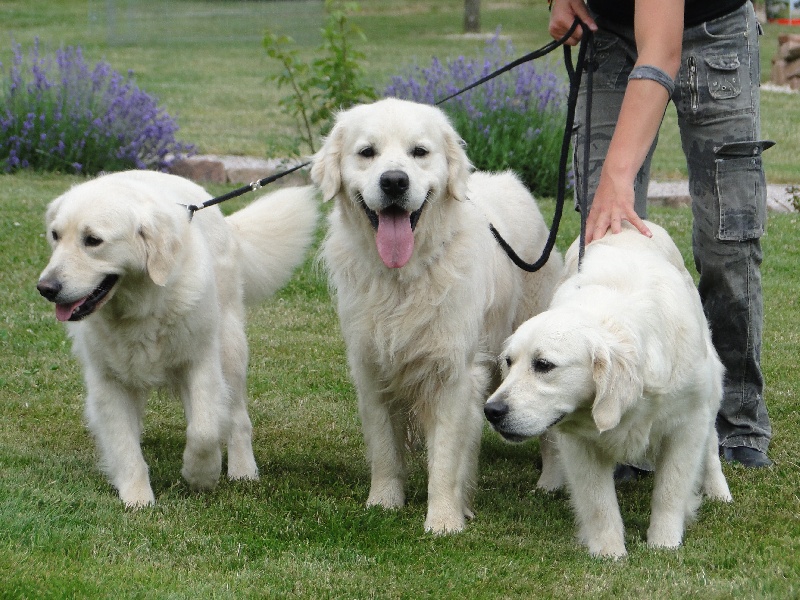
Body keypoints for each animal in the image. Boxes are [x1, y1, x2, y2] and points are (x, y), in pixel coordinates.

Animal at [36, 170, 318, 506]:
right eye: (55, 235)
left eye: (92, 240)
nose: (45, 288)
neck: (141, 308)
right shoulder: (107, 379)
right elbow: (123, 442)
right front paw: (137, 498)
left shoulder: (201, 361)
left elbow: (204, 430)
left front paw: (201, 475)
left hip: (231, 350)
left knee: (237, 419)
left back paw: (242, 470)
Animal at [310, 98, 564, 536]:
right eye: (367, 152)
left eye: (420, 152)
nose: (394, 182)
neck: (404, 278)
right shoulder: (371, 367)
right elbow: (384, 448)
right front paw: (383, 503)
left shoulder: (453, 374)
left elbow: (445, 457)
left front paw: (444, 519)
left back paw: (549, 480)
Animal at [484, 221, 736, 556]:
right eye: (509, 362)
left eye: (544, 365)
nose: (491, 411)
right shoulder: (578, 442)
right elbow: (598, 501)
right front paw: (609, 552)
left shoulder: (687, 423)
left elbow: (670, 489)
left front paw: (664, 543)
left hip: (711, 388)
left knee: (710, 446)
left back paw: (718, 490)